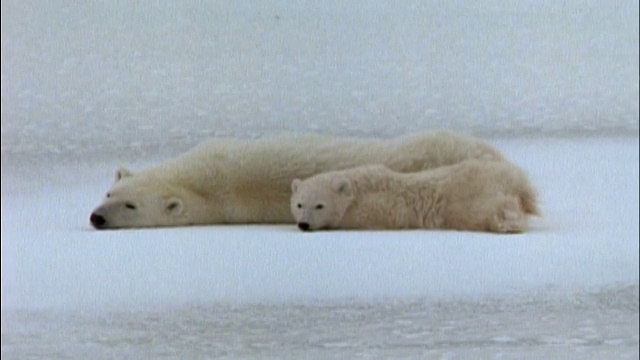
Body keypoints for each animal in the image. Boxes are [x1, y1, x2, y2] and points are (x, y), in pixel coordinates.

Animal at [292, 161, 540, 233]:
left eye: (320, 205)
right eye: (299, 204)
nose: (304, 224)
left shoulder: (379, 207)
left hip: (472, 192)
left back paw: (508, 223)